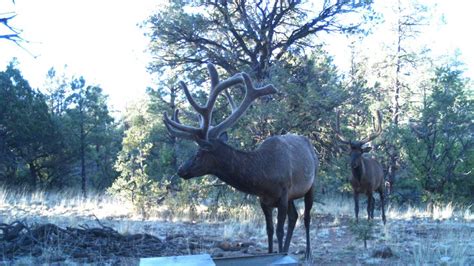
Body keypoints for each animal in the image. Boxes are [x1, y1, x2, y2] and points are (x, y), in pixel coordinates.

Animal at [162, 63, 318, 258]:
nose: (181, 170)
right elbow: (269, 230)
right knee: (294, 216)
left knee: (306, 218)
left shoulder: (283, 193)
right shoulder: (264, 200)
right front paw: (272, 253)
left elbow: (279, 230)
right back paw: (289, 249)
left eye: (199, 153)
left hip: (311, 184)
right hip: (292, 195)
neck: (265, 178)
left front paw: (280, 254)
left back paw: (308, 253)